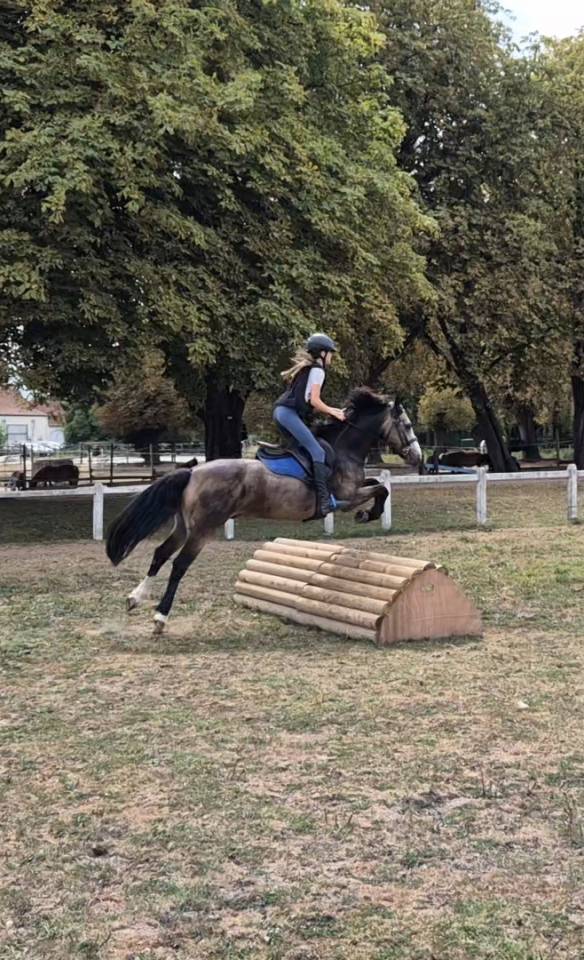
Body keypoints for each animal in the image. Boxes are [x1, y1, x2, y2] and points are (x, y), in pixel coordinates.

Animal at [106, 388, 422, 635]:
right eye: (407, 425)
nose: (419, 458)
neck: (345, 449)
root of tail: (193, 471)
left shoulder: (354, 490)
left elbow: (378, 485)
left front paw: (369, 514)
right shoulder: (347, 497)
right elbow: (381, 490)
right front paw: (368, 514)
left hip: (184, 526)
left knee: (161, 553)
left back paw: (135, 598)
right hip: (203, 530)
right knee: (179, 565)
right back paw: (160, 616)